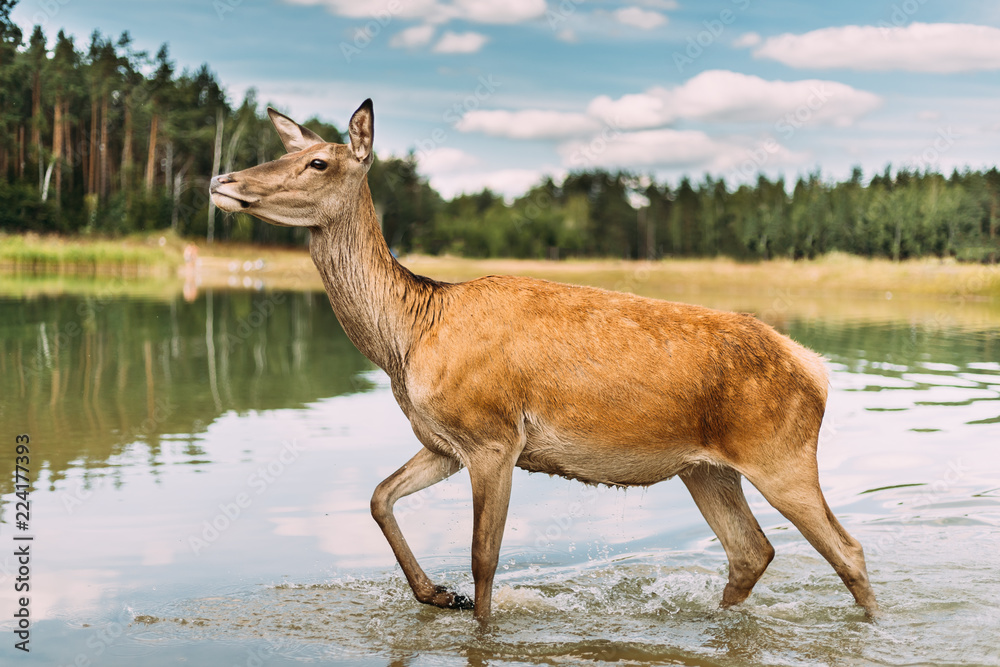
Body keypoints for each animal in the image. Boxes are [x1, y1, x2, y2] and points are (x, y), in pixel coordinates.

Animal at [209, 98, 876, 620]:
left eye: (318, 162)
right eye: (288, 152)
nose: (222, 181)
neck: (409, 333)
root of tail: (814, 368)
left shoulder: (493, 436)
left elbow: (484, 559)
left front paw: (471, 612)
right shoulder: (443, 440)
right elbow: (378, 496)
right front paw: (436, 594)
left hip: (781, 453)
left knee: (847, 550)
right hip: (706, 467)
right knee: (751, 551)